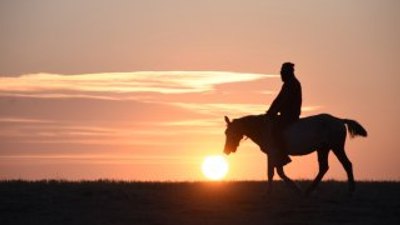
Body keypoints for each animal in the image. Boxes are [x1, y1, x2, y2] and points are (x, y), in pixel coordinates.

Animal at [223, 114, 368, 195]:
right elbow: (275, 172)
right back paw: (309, 190)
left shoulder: (273, 153)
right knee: (324, 168)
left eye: (231, 132)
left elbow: (274, 173)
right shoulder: (273, 155)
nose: (226, 150)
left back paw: (351, 190)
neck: (263, 128)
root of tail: (339, 120)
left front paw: (272, 192)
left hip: (336, 147)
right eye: (226, 132)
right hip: (323, 149)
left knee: (347, 164)